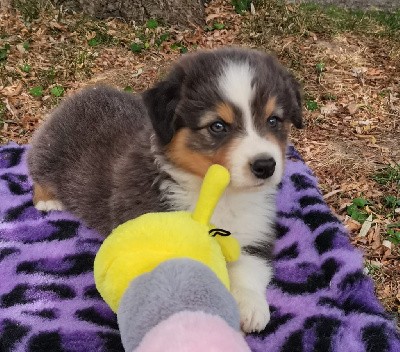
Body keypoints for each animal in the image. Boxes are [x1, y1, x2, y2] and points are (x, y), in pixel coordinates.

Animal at [28, 46, 304, 332]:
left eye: (274, 120)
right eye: (217, 126)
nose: (265, 166)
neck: (218, 194)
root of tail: (84, 94)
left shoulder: (255, 232)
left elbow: (251, 269)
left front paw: (251, 309)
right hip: (49, 151)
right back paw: (48, 200)